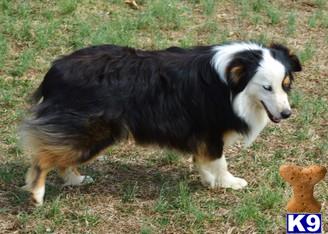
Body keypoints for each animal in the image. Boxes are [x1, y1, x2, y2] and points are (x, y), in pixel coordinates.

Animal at [20, 41, 302, 205]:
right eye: (267, 87)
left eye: (286, 84)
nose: (287, 113)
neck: (231, 82)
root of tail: (54, 72)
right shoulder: (210, 130)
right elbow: (219, 160)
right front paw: (229, 183)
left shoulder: (200, 134)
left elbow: (203, 160)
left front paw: (208, 181)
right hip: (92, 131)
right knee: (44, 156)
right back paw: (37, 193)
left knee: (59, 156)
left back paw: (75, 180)